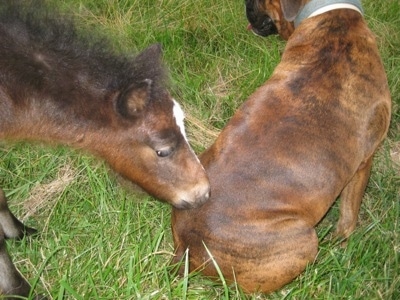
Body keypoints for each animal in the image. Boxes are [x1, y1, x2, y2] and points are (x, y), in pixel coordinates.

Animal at [171, 0, 390, 294]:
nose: (246, 5)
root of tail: (185, 246)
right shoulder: (364, 163)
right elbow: (348, 216)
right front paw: (342, 244)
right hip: (304, 239)